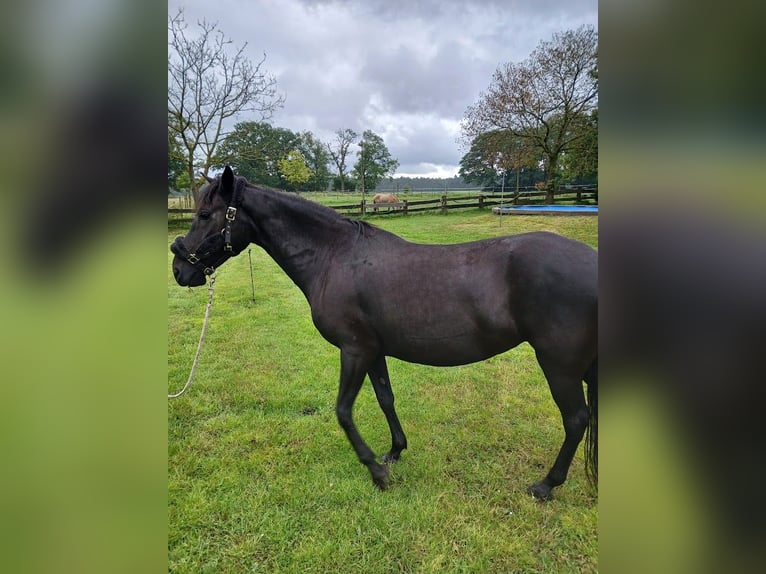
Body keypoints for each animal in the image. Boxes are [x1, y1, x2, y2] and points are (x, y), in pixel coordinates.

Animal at [171, 165, 596, 500]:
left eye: (205, 214)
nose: (179, 269)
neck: (334, 257)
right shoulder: (374, 351)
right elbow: (386, 399)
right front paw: (395, 452)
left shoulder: (354, 350)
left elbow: (343, 411)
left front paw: (376, 472)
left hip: (558, 365)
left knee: (577, 419)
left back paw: (547, 485)